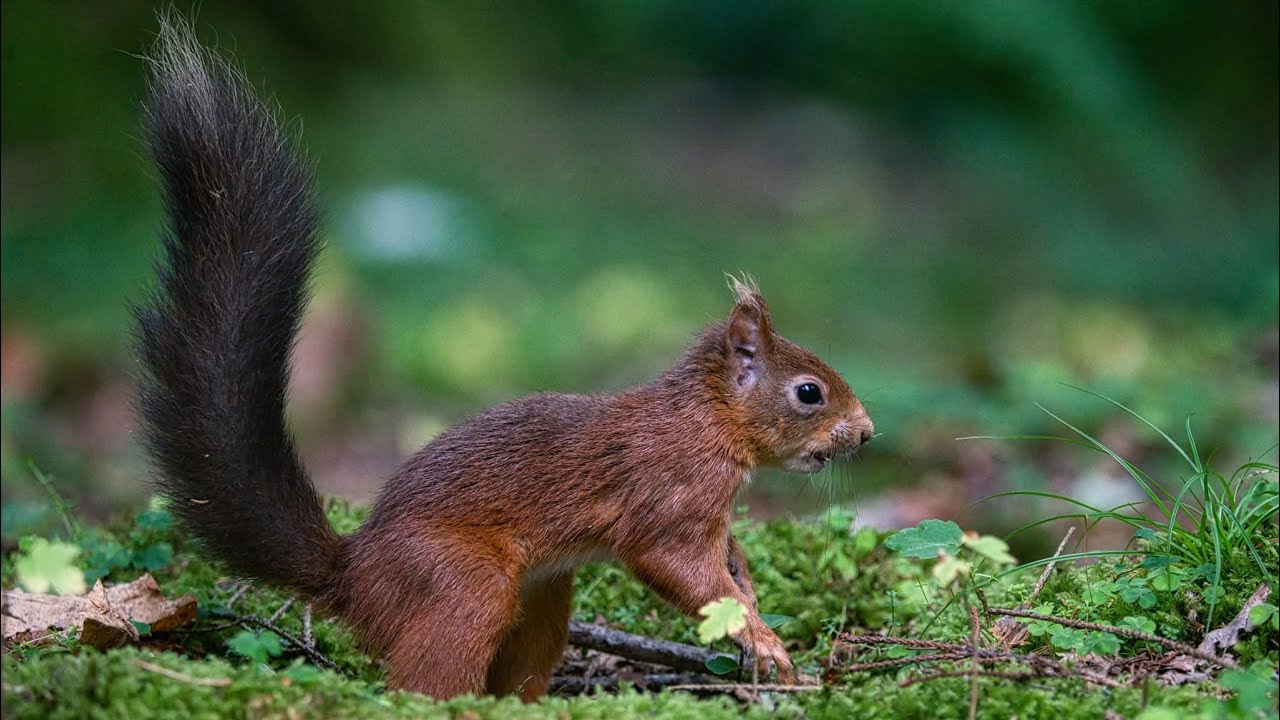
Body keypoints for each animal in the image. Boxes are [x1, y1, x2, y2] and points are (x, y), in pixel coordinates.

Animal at [134, 19, 874, 700]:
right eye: (809, 392)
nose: (867, 433)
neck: (705, 420)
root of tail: (355, 577)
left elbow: (731, 568)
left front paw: (755, 616)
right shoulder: (669, 494)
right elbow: (676, 566)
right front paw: (762, 641)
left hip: (543, 595)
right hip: (461, 583)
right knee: (423, 676)